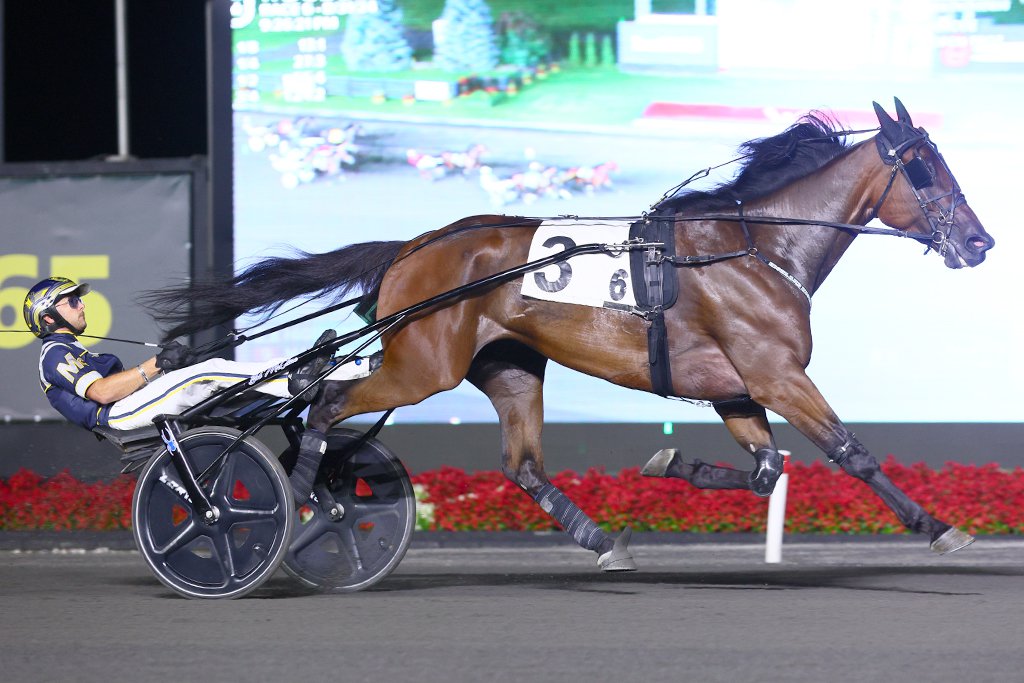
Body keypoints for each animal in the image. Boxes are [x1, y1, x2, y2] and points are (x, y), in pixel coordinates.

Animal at [149, 100, 991, 573]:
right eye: (924, 167)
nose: (980, 242)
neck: (755, 248)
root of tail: (411, 249)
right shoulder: (777, 375)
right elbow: (851, 451)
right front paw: (939, 527)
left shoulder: (736, 387)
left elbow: (765, 469)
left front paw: (668, 460)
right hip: (423, 363)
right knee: (320, 400)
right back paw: (282, 500)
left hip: (509, 366)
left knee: (520, 463)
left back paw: (598, 538)